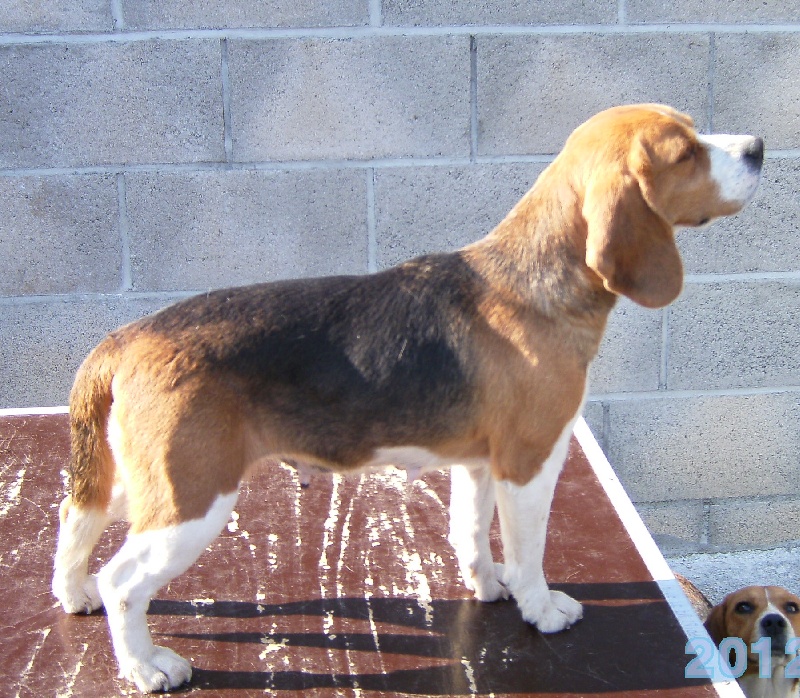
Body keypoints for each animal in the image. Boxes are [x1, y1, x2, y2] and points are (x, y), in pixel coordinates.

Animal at [50, 103, 764, 692]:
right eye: (685, 152)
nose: (758, 146)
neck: (536, 278)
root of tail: (127, 336)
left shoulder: (480, 465)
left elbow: (472, 533)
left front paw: (487, 586)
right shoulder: (530, 462)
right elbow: (528, 551)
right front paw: (540, 608)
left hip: (142, 483)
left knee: (75, 517)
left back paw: (73, 592)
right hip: (191, 501)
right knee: (123, 581)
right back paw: (145, 665)